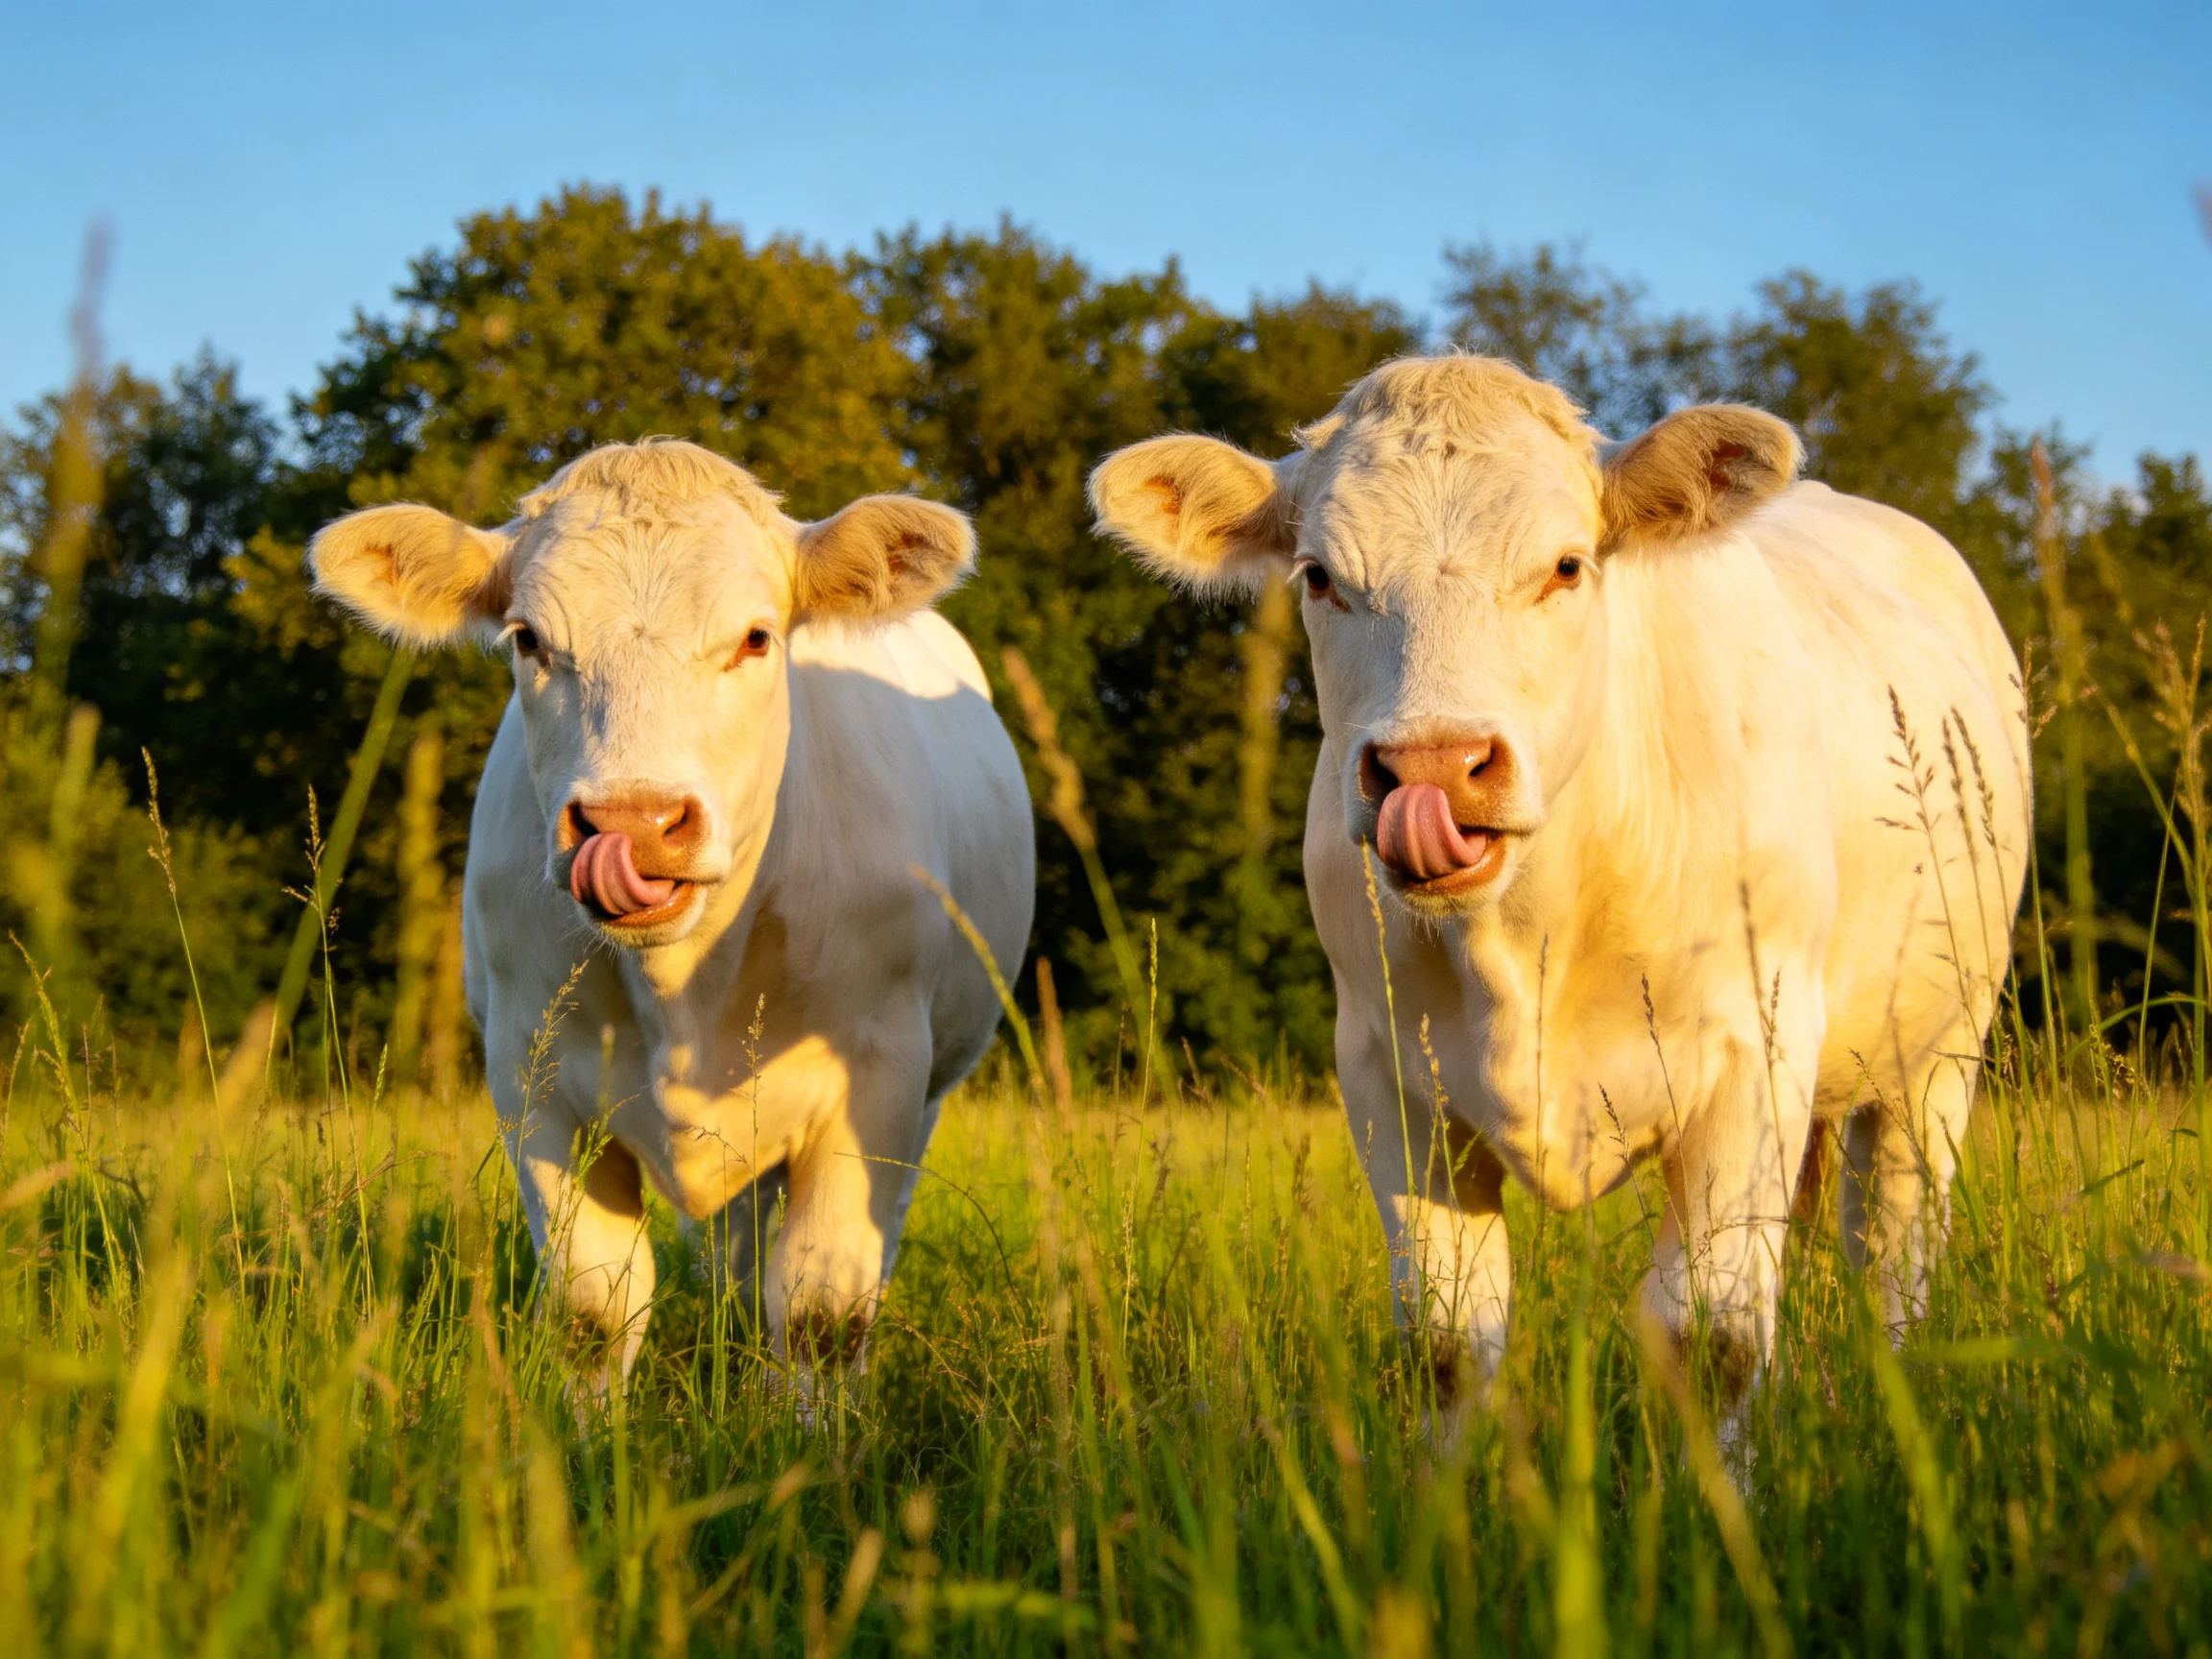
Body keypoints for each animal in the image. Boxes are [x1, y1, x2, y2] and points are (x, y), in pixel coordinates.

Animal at [310, 439, 1034, 1382]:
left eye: (757, 637)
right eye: (528, 639)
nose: (634, 824)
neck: (685, 984)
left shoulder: (877, 1071)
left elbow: (822, 1314)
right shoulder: (531, 1075)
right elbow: (592, 1310)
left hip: (930, 1088)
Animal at [1091, 356, 2027, 1394]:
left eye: (1568, 566)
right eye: (1320, 577)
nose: (1434, 767)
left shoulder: (1757, 1058)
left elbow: (1713, 1341)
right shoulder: (1385, 1075)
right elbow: (1447, 1344)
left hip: (1940, 1049)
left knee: (1893, 1250)